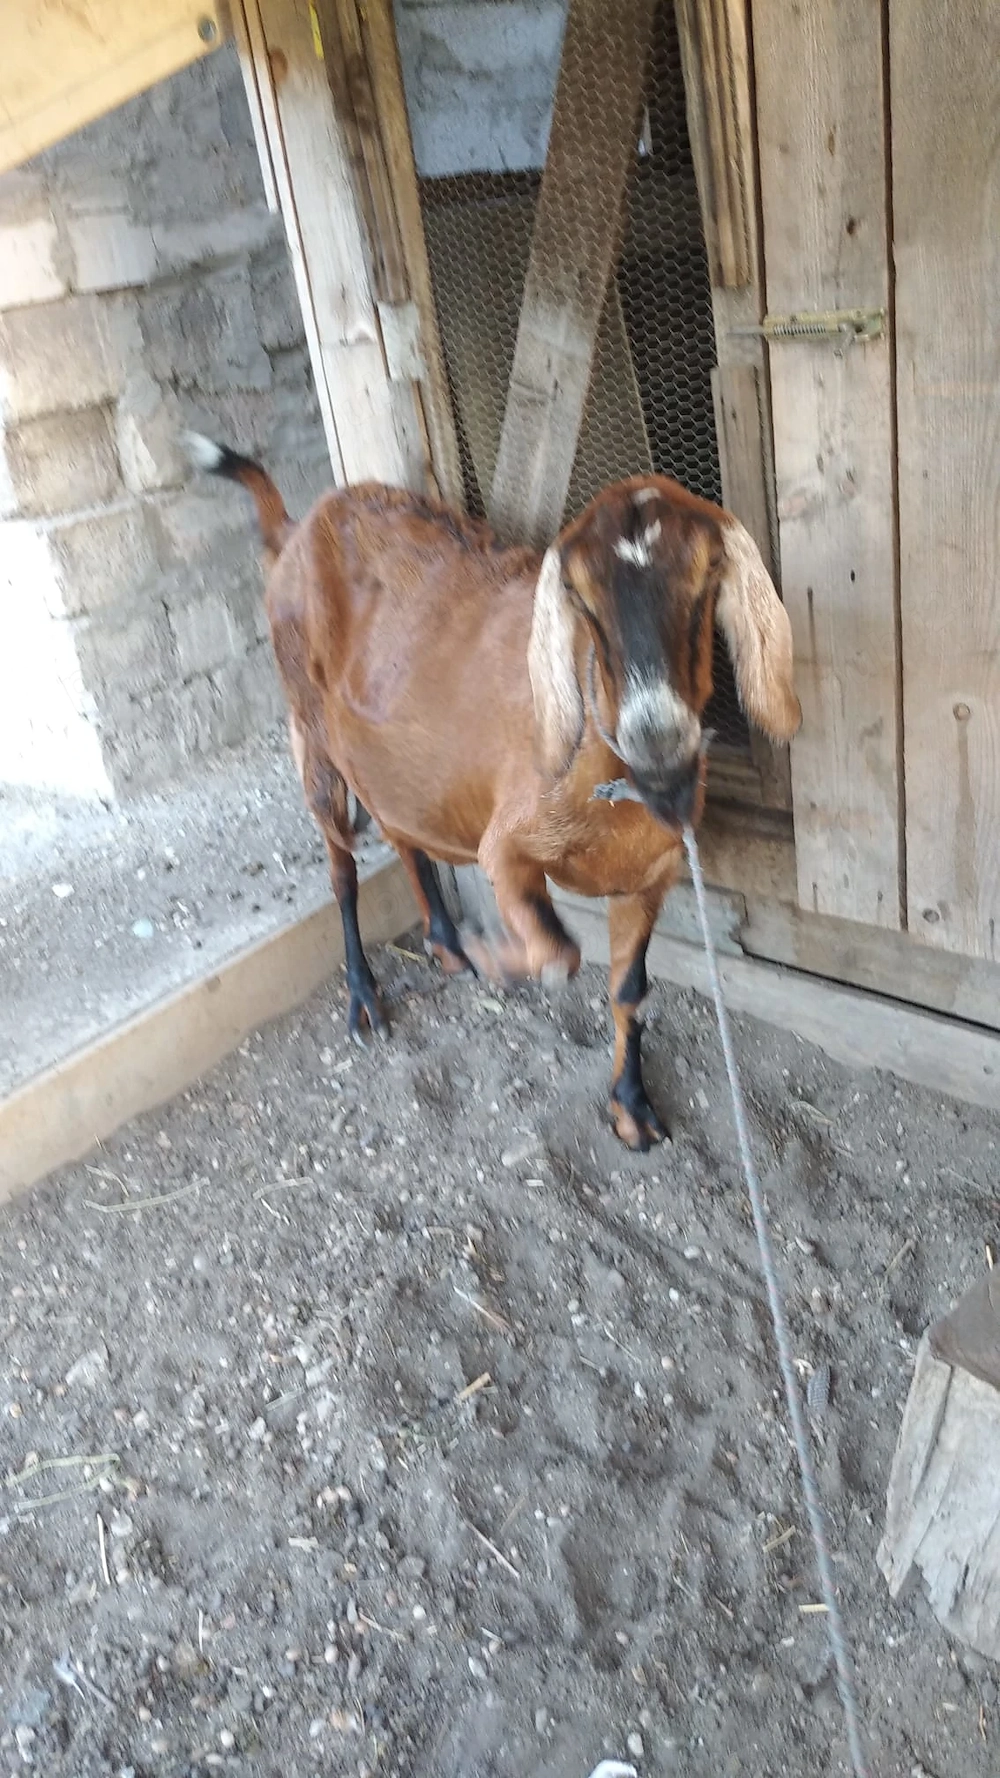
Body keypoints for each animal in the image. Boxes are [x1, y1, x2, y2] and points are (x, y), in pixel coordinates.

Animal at [184, 433, 800, 1150]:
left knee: (398, 830)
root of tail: (295, 530)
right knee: (340, 865)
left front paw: (631, 1106)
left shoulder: (652, 876)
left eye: (705, 580)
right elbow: (559, 952)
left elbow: (630, 990)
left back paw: (446, 944)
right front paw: (500, 958)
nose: (657, 743)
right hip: (308, 732)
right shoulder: (505, 845)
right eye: (582, 600)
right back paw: (366, 995)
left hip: (378, 756)